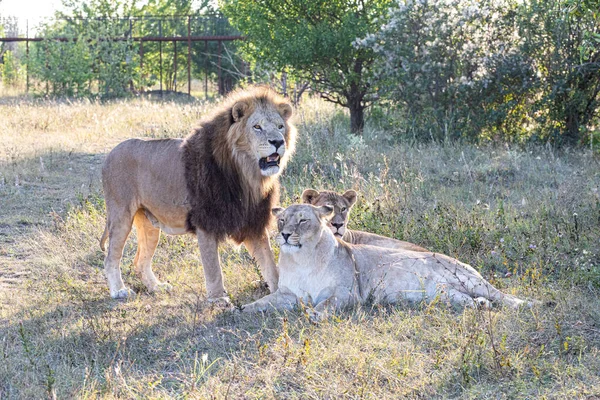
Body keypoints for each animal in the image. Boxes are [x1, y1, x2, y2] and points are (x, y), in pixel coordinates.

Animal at [100, 86, 296, 300]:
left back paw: (157, 287)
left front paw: (281, 293)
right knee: (111, 257)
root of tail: (110, 153)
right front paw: (218, 299)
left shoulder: (253, 222)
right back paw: (119, 290)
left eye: (280, 126)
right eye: (257, 127)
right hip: (121, 215)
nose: (277, 142)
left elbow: (270, 265)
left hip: (149, 223)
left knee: (140, 261)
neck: (247, 174)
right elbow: (213, 268)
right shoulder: (206, 221)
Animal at [240, 205, 528, 318]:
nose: (285, 234)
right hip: (448, 295)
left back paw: (525, 304)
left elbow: (328, 303)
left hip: (470, 279)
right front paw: (240, 309)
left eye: (302, 220)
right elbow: (263, 303)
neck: (303, 259)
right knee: (471, 300)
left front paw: (315, 314)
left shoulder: (349, 293)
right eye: (281, 220)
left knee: (500, 294)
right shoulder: (287, 294)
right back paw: (481, 305)